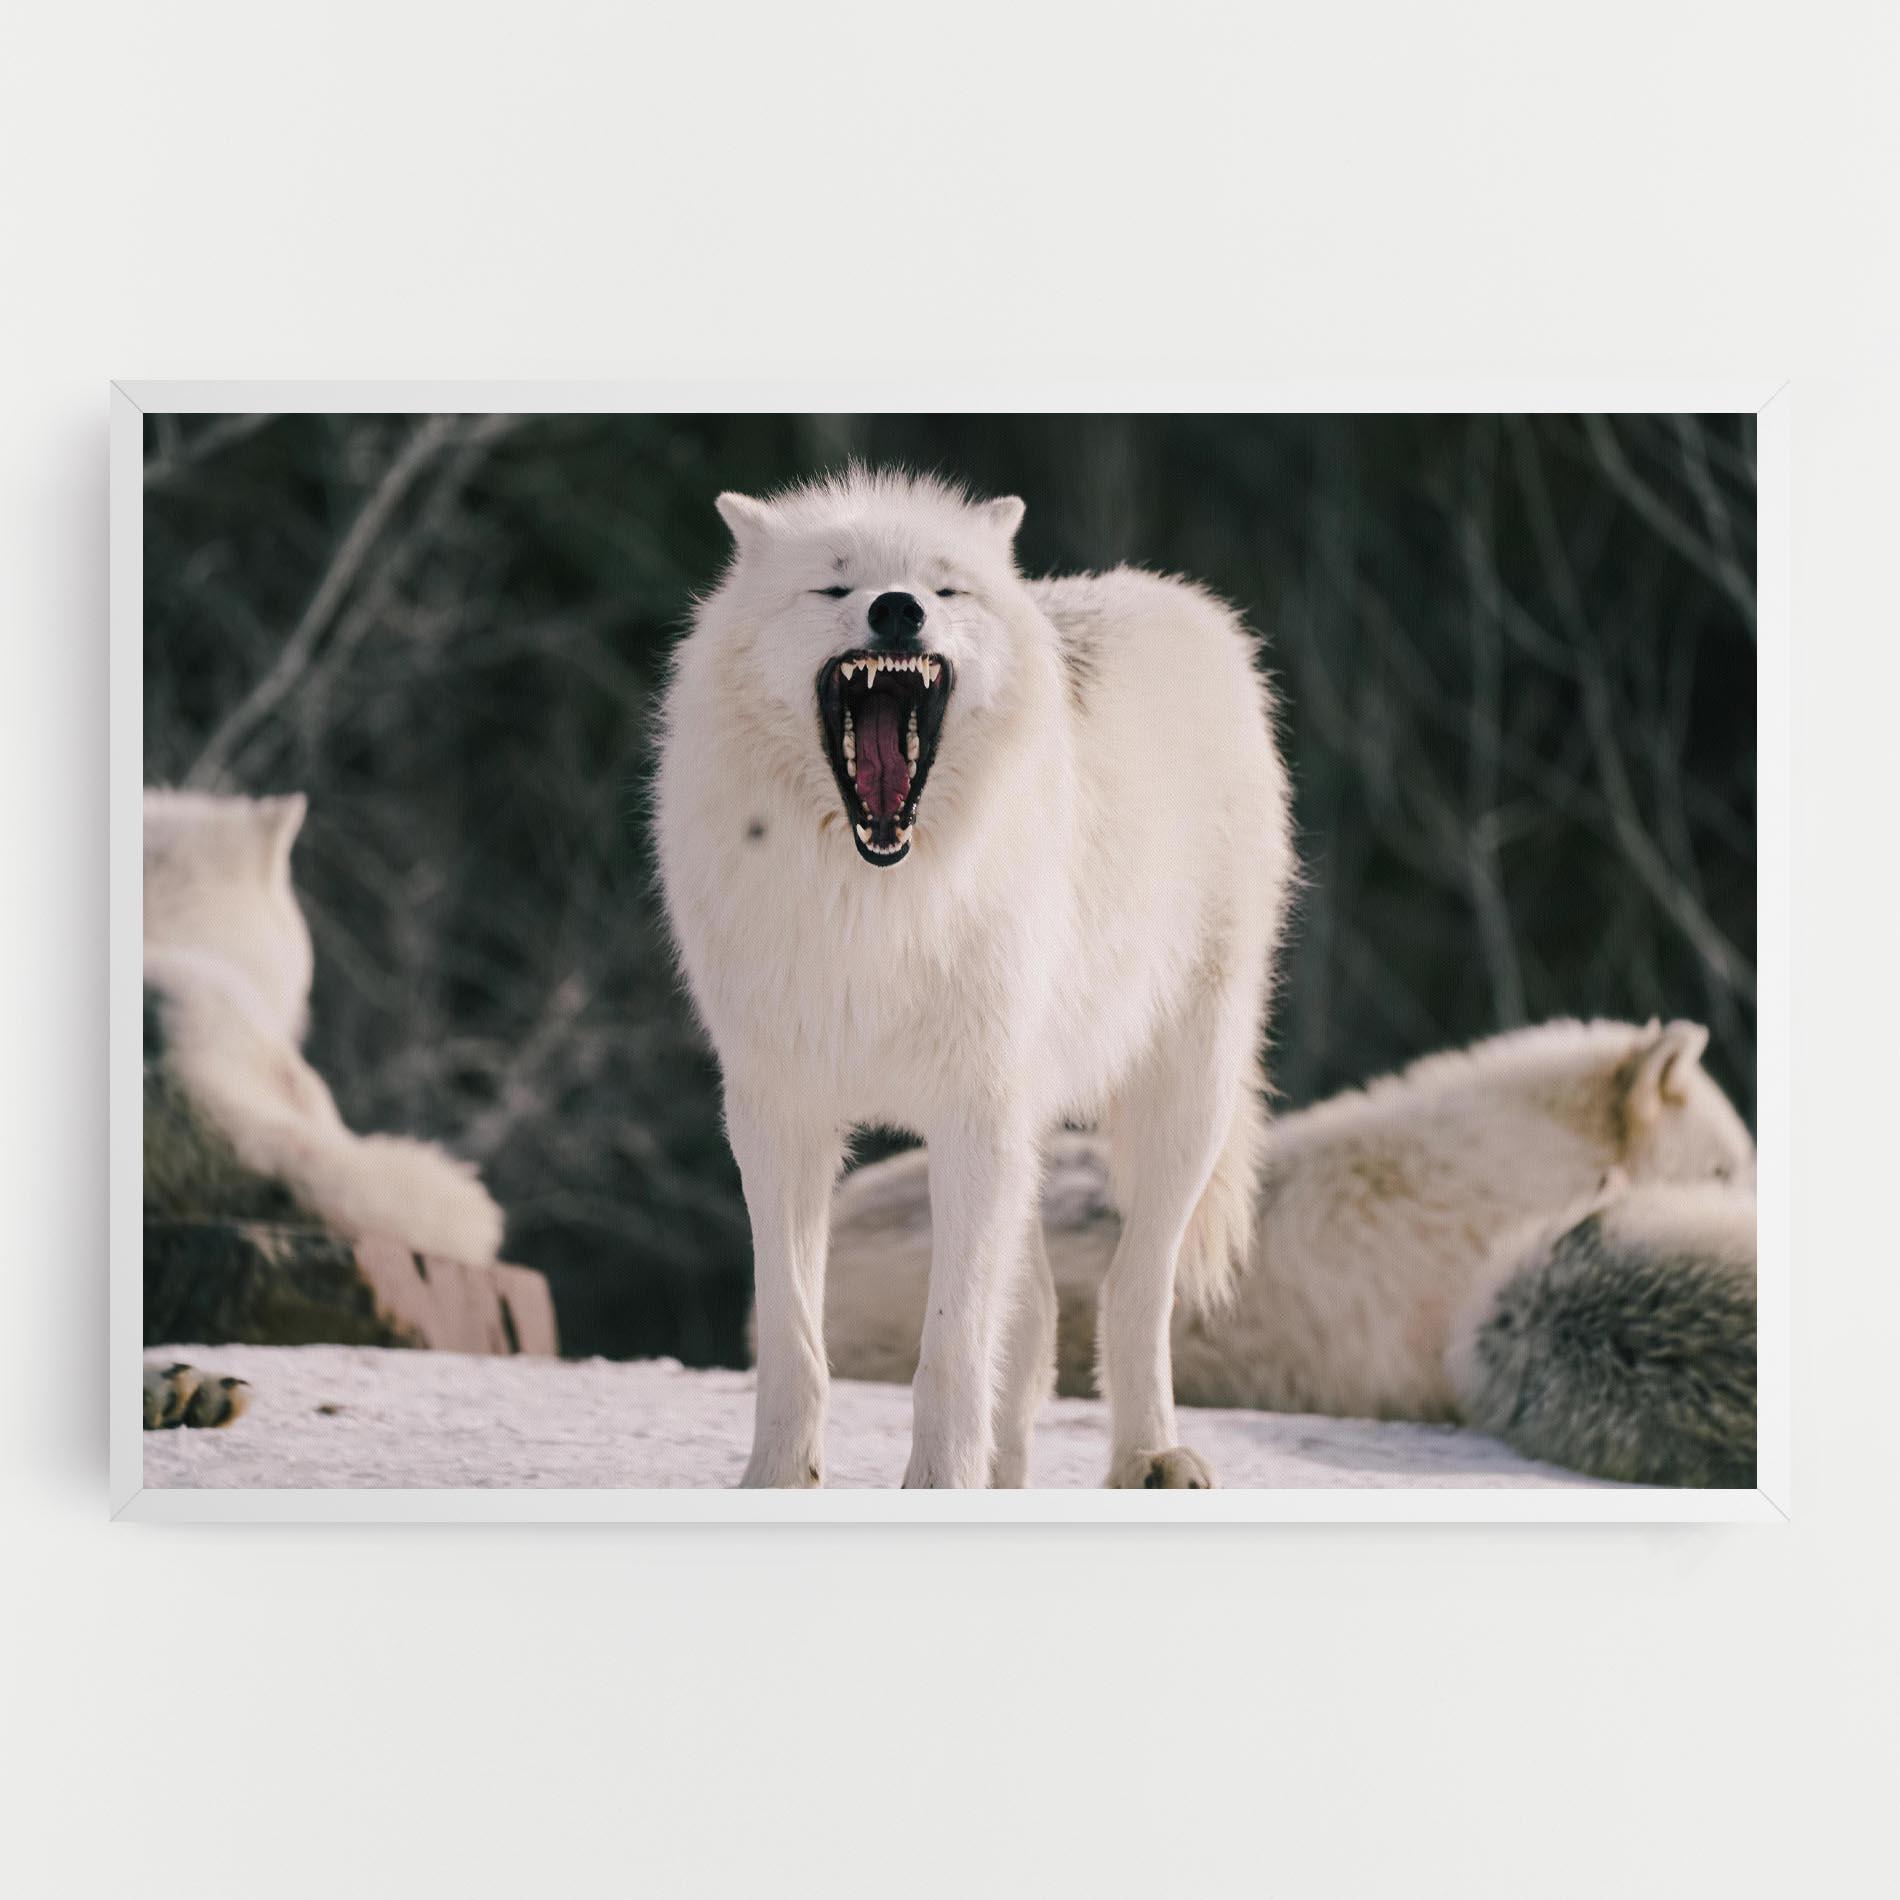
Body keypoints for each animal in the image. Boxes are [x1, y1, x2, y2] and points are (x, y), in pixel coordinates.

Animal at [654, 470, 1293, 1487]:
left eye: (944, 588)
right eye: (835, 586)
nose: (898, 609)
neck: (876, 902)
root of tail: (1178, 600)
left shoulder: (973, 1115)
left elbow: (950, 1347)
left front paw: (937, 1485)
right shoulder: (778, 1115)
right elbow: (795, 1339)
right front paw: (778, 1480)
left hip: (1181, 1099)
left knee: (1133, 1288)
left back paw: (1151, 1455)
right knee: (1034, 1326)